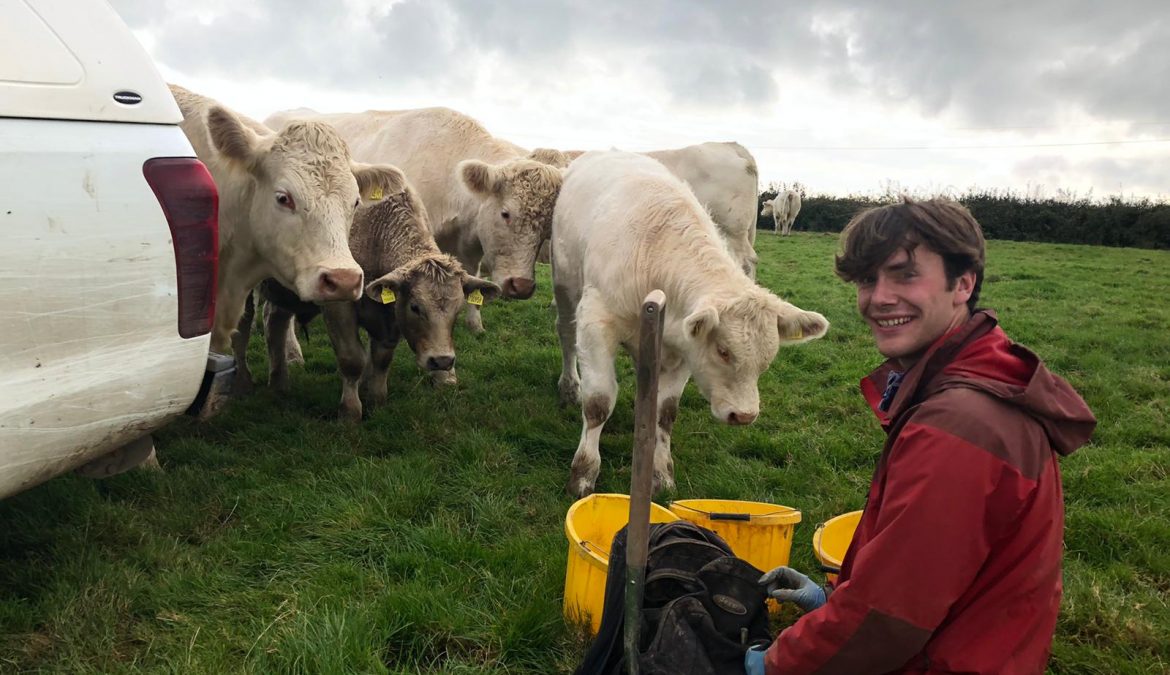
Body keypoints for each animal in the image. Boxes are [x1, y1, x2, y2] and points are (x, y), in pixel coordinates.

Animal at [253, 178, 496, 421]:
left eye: (458, 309)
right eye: (415, 307)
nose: (442, 361)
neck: (374, 236)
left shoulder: (388, 318)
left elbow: (381, 358)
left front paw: (376, 399)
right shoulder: (339, 307)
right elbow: (351, 359)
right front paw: (350, 412)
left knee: (275, 321)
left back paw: (279, 382)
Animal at [549, 154, 833, 500]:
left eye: (767, 360)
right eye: (723, 351)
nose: (744, 416)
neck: (653, 253)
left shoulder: (684, 349)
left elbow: (665, 412)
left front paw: (661, 474)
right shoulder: (595, 323)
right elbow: (598, 404)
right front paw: (583, 474)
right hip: (565, 286)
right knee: (565, 334)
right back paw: (569, 386)